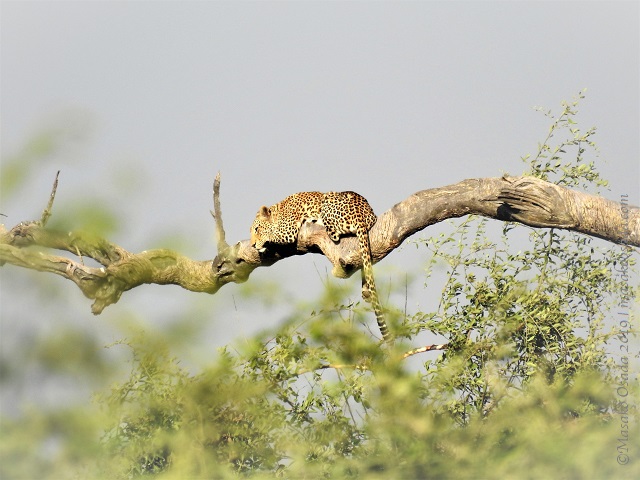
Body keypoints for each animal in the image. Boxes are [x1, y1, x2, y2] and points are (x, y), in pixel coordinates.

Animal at [251, 191, 392, 343]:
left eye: (257, 229)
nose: (252, 245)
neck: (278, 210)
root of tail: (362, 214)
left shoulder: (288, 230)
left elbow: (273, 235)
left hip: (327, 205)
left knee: (334, 233)